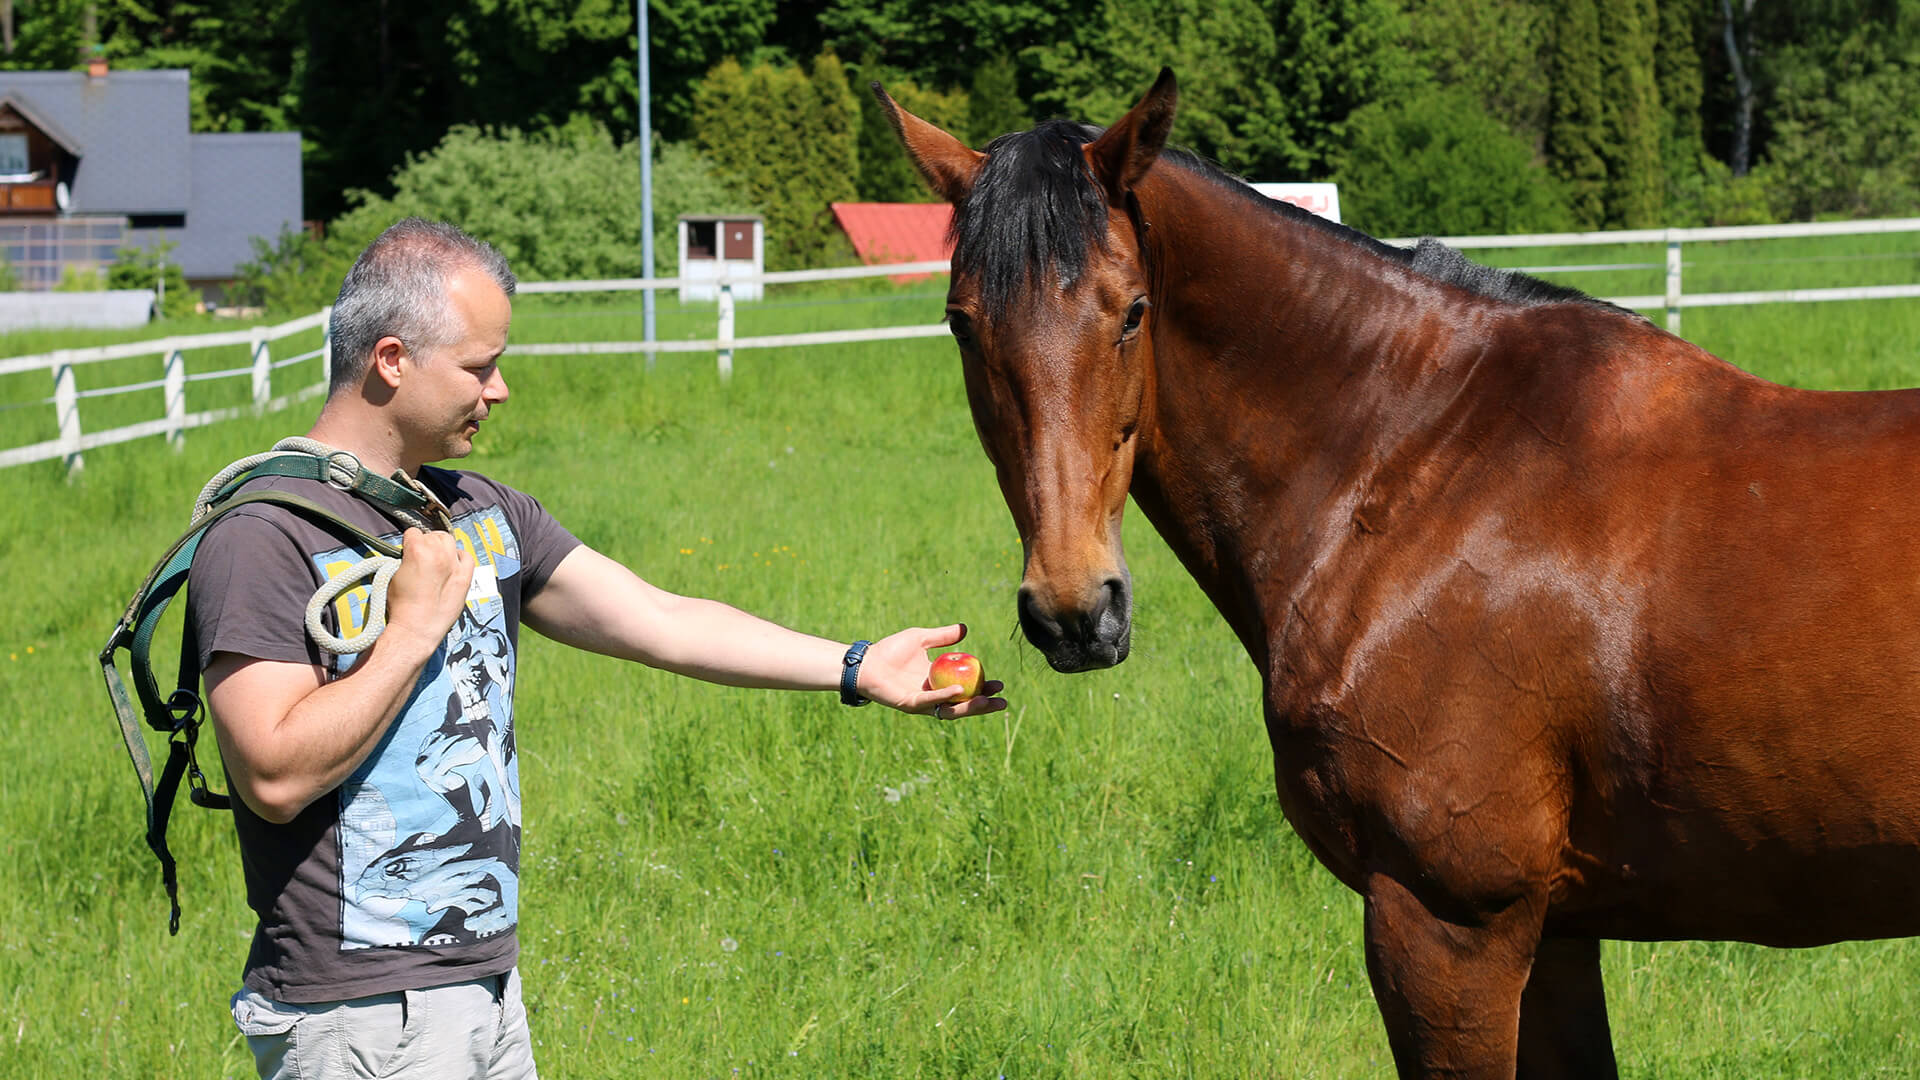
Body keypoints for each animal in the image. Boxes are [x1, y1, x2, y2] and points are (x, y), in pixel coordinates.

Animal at [879, 71, 1920, 1068]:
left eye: (1133, 313)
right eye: (961, 325)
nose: (1073, 612)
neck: (1425, 468)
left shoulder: (1451, 926)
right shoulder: (1555, 934)